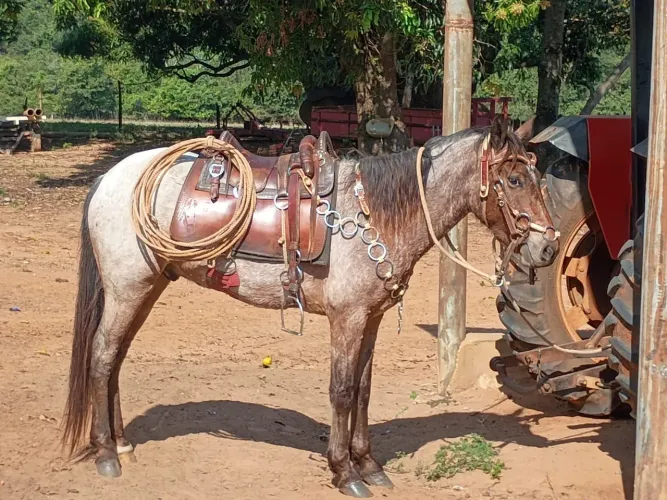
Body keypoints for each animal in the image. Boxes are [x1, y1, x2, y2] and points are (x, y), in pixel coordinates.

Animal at [61, 118, 558, 498]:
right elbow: (341, 391)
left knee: (116, 357)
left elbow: (362, 390)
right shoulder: (347, 319)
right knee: (102, 356)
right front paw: (345, 471)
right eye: (514, 179)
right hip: (127, 288)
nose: (548, 249)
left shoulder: (371, 319)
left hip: (146, 288)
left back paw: (123, 443)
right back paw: (106, 453)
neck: (375, 213)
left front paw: (370, 464)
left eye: (539, 179)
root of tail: (109, 179)